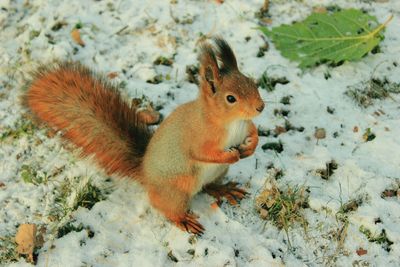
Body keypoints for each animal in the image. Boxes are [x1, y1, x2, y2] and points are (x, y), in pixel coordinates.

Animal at [27, 38, 266, 237]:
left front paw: (250, 147)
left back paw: (224, 189)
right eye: (230, 98)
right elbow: (202, 153)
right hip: (177, 191)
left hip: (215, 174)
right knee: (165, 207)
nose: (260, 107)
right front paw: (232, 156)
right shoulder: (198, 137)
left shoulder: (245, 126)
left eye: (252, 82)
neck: (233, 123)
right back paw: (183, 220)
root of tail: (145, 174)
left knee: (208, 187)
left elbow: (253, 133)